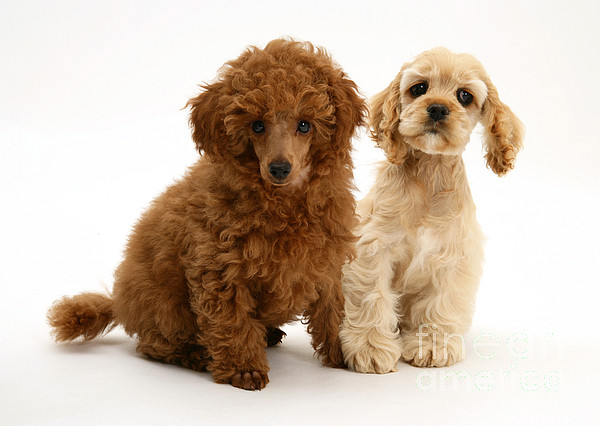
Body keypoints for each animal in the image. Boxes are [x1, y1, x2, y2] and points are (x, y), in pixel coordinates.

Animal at [48, 39, 366, 390]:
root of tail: (119, 303)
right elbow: (232, 320)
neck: (283, 202)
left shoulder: (327, 263)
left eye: (304, 125)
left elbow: (332, 310)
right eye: (257, 125)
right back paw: (196, 354)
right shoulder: (220, 268)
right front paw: (244, 368)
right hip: (163, 305)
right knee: (154, 344)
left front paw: (346, 352)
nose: (280, 168)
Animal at [340, 47, 524, 372]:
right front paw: (370, 348)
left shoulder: (453, 255)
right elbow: (372, 296)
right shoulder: (373, 247)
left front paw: (433, 344)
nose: (437, 108)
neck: (429, 171)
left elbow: (440, 302)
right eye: (419, 88)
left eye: (464, 95)